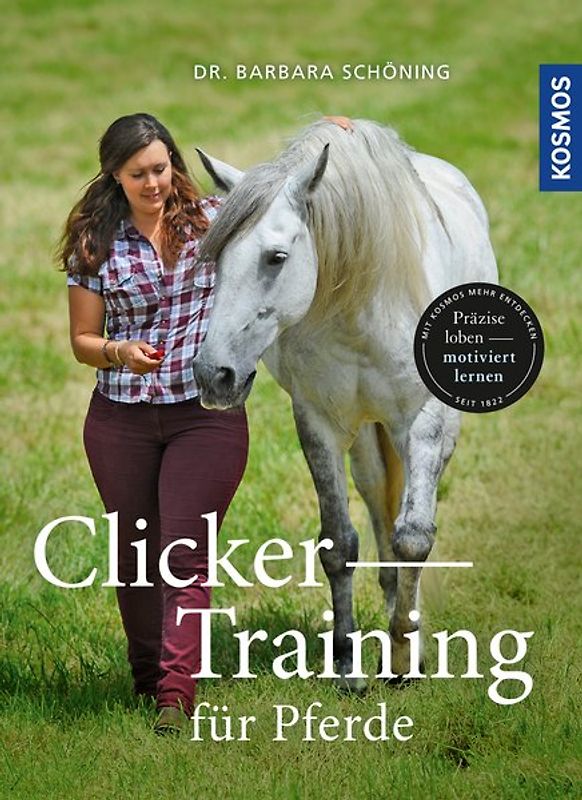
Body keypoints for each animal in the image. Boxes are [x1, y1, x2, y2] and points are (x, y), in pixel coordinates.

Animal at [193, 119, 497, 688]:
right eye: (216, 258)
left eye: (277, 257)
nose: (212, 374)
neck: (362, 311)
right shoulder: (319, 423)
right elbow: (340, 545)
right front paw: (348, 664)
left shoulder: (422, 422)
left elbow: (414, 539)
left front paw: (402, 660)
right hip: (367, 442)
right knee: (379, 505)